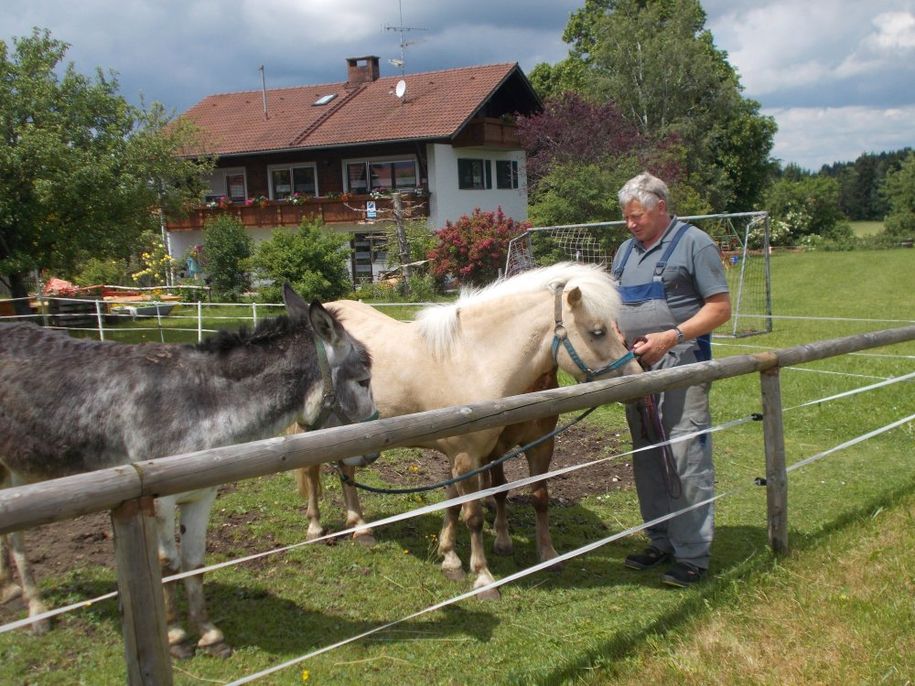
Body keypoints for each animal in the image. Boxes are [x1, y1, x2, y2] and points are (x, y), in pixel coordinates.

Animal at [0, 286, 376, 660]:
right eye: (364, 381)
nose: (372, 453)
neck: (203, 402)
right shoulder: (156, 501)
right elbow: (167, 565)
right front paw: (176, 636)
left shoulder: (201, 494)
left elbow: (194, 562)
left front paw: (210, 634)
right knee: (16, 539)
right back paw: (36, 610)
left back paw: (11, 591)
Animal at [296, 260, 640, 600]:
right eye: (597, 332)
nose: (637, 376)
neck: (473, 361)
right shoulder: (466, 456)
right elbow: (472, 515)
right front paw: (483, 578)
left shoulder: (470, 456)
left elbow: (460, 502)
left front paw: (450, 559)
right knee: (312, 470)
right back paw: (315, 527)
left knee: (346, 471)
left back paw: (360, 527)